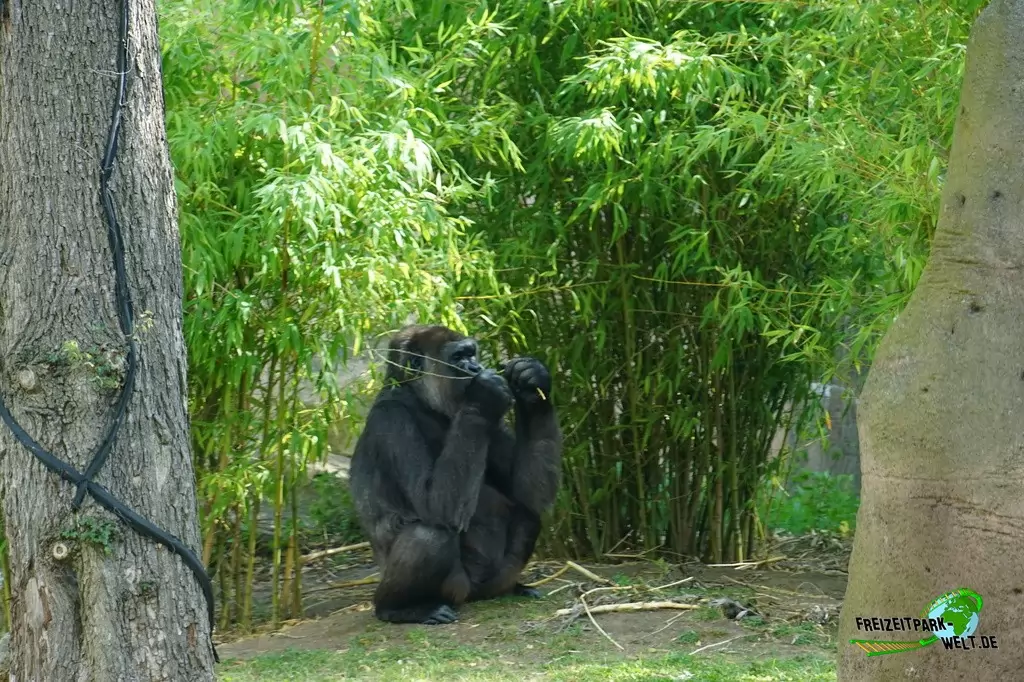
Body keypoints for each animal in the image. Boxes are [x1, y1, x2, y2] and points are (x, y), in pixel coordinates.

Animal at [347, 324, 563, 624]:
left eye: (472, 353)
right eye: (458, 357)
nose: (475, 367)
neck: (422, 401)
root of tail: (472, 595)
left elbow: (527, 491)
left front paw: (532, 381)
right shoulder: (391, 420)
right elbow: (434, 506)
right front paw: (484, 395)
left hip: (487, 587)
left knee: (529, 513)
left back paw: (511, 588)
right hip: (456, 589)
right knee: (430, 536)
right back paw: (399, 608)